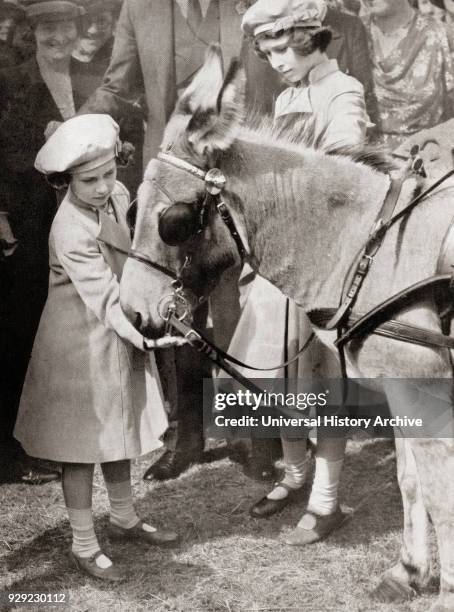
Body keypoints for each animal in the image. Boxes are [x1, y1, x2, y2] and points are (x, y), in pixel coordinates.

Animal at [119, 45, 454, 608]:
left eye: (173, 221)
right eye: (131, 209)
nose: (130, 308)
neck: (370, 244)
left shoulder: (424, 386)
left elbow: (440, 491)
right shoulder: (402, 390)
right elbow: (412, 482)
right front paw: (408, 571)